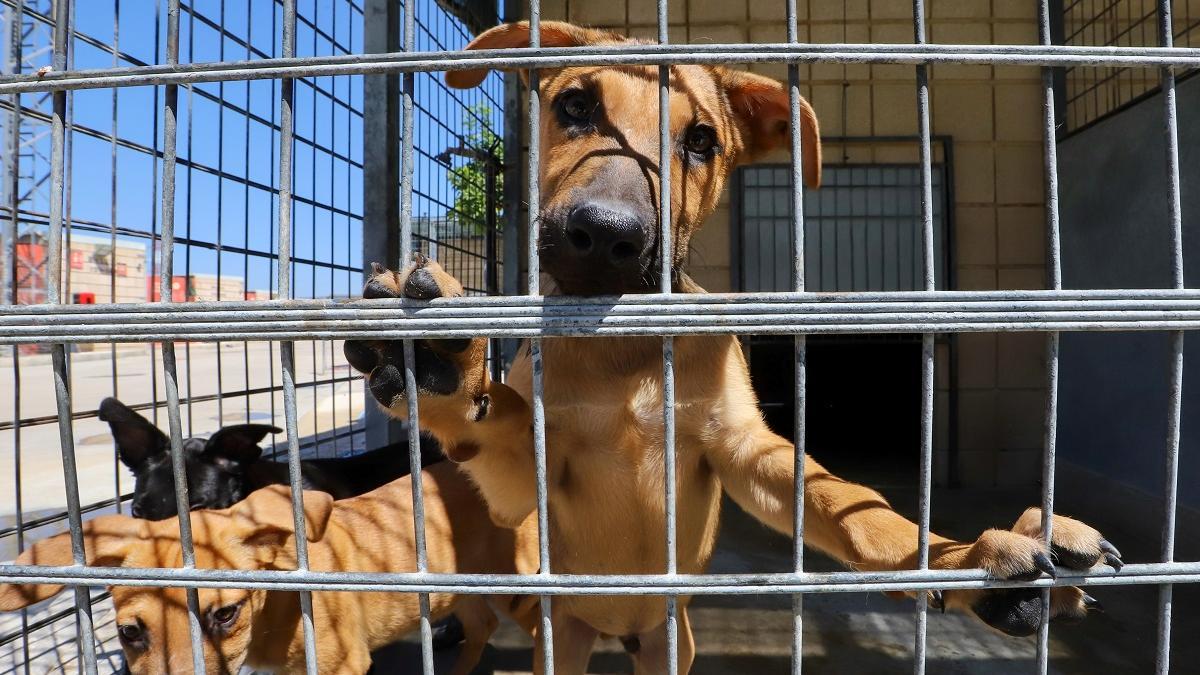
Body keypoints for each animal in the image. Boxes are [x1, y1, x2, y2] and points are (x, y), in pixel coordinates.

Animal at [0, 458, 540, 672]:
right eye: (130, 632)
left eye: (225, 614)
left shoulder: (343, 665)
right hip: (463, 589)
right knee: (483, 623)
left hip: (523, 592)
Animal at [340, 19, 1123, 672]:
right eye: (576, 106)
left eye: (700, 141)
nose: (606, 234)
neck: (625, 352)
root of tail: (620, 629)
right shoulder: (527, 475)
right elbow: (492, 422)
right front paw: (438, 367)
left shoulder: (745, 451)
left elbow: (854, 508)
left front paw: (961, 558)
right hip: (565, 637)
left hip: (670, 642)